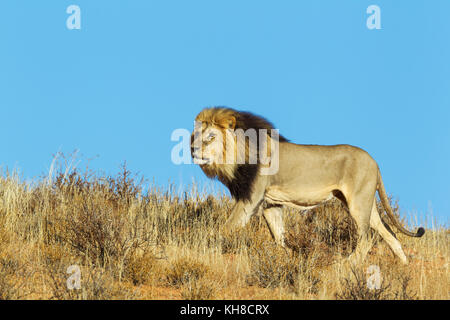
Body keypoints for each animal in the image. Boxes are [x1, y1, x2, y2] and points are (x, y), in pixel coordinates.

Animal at [192, 106, 424, 264]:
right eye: (195, 136)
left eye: (210, 137)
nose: (193, 150)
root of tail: (375, 162)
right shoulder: (270, 203)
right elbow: (278, 235)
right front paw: (287, 255)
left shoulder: (251, 197)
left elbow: (227, 227)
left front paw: (208, 247)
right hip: (365, 203)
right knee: (390, 234)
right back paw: (403, 266)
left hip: (358, 204)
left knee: (366, 240)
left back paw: (347, 264)